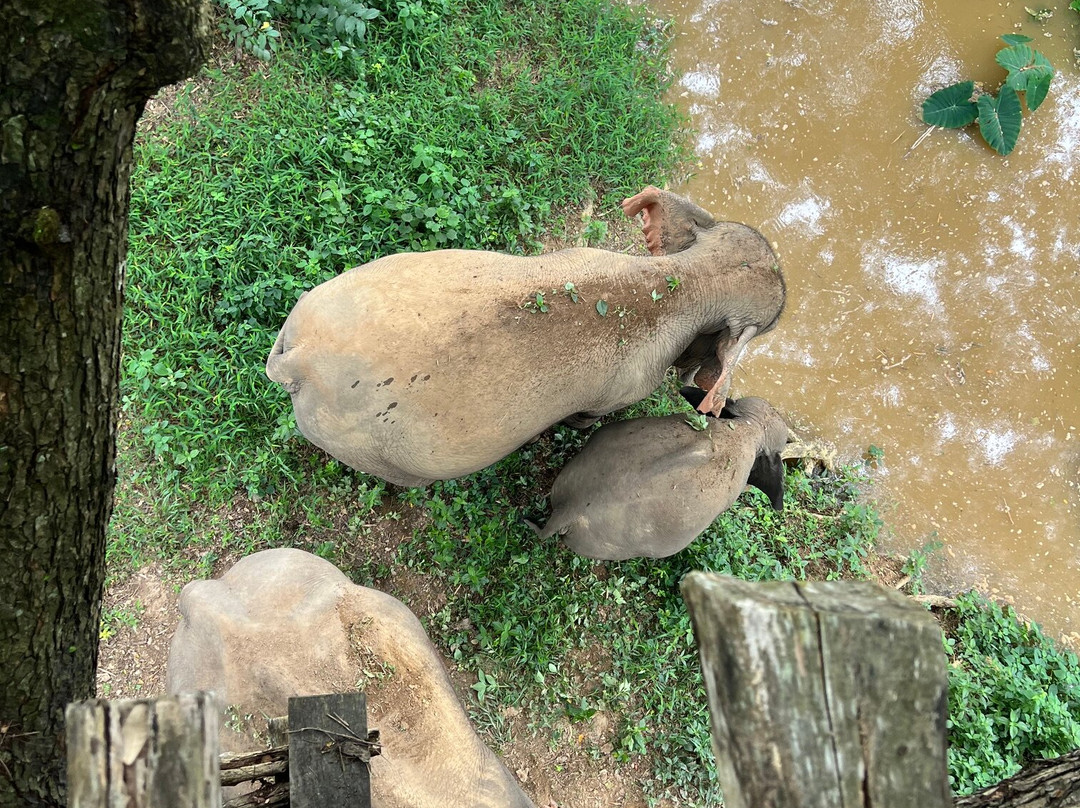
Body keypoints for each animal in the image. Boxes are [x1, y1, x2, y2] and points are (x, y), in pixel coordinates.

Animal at [266, 185, 785, 486]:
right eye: (773, 321)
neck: (683, 283)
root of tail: (298, 360)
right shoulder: (626, 389)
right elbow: (588, 418)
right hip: (364, 446)